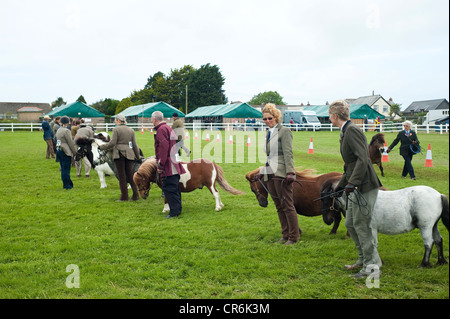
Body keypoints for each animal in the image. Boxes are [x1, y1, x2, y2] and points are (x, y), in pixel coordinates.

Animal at [320, 184, 450, 268]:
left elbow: (372, 244)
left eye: (327, 200)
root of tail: (439, 195)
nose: (327, 220)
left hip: (425, 227)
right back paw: (441, 261)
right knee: (438, 240)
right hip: (433, 226)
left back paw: (424, 264)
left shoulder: (371, 229)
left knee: (429, 243)